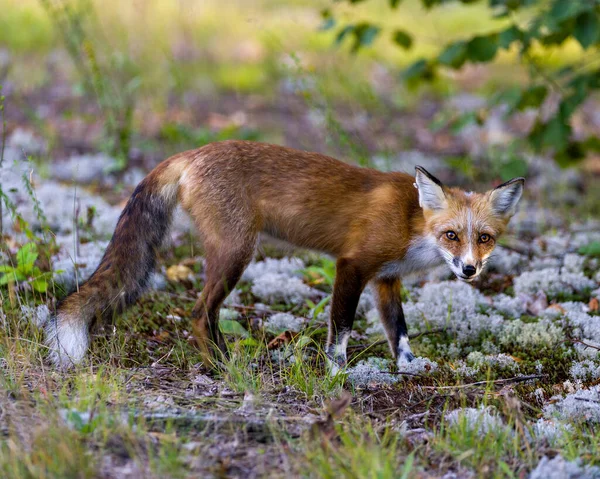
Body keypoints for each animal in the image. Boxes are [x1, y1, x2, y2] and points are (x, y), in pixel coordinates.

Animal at [47, 139, 524, 372]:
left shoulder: (386, 278)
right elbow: (341, 329)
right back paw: (222, 366)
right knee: (199, 313)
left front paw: (409, 367)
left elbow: (398, 331)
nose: (469, 270)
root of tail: (192, 153)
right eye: (451, 235)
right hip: (237, 253)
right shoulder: (352, 265)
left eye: (484, 238)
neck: (411, 223)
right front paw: (337, 373)